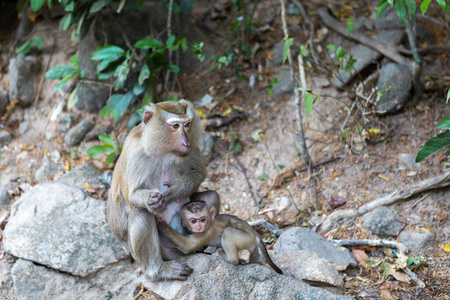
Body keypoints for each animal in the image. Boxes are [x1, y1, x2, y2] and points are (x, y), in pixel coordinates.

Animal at [107, 100, 220, 282]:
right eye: (175, 126)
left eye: (187, 125)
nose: (186, 143)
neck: (163, 152)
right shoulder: (134, 154)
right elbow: (132, 197)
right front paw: (152, 200)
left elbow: (199, 174)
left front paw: (175, 190)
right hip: (166, 251)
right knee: (141, 214)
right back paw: (158, 270)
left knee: (212, 196)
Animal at [156, 199, 284, 274]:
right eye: (193, 221)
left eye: (202, 219)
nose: (199, 227)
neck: (209, 222)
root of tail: (256, 236)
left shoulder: (207, 232)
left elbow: (188, 245)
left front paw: (161, 225)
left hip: (246, 238)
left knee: (228, 231)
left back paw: (230, 258)